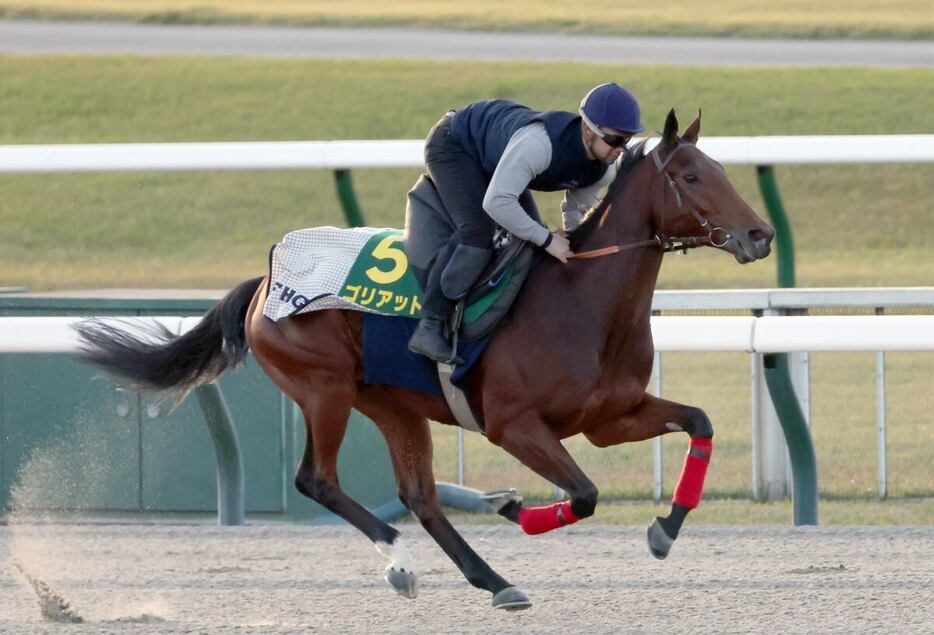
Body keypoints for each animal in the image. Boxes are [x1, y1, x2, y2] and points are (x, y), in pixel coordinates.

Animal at [75, 109, 776, 612]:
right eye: (692, 177)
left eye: (722, 169)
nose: (760, 234)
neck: (582, 300)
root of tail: (268, 276)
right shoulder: (513, 425)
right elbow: (584, 494)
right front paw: (517, 510)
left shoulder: (610, 417)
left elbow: (700, 422)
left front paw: (664, 530)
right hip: (325, 389)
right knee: (317, 481)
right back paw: (402, 564)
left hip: (393, 406)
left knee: (419, 495)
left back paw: (493, 580)